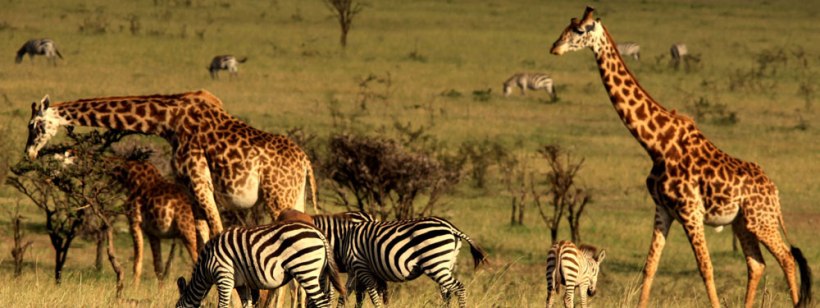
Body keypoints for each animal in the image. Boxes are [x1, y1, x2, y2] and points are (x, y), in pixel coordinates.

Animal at [24, 89, 318, 236]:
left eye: (34, 125)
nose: (29, 153)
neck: (168, 121)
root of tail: (305, 161)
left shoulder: (200, 181)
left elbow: (217, 232)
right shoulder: (190, 187)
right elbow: (203, 237)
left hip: (277, 196)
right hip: (295, 195)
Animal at [175, 223, 344, 308]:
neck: (206, 266)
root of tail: (318, 233)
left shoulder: (224, 276)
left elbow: (222, 305)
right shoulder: (242, 284)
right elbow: (247, 305)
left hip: (305, 270)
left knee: (322, 303)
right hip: (320, 273)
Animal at [338, 217, 486, 308]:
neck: (344, 241)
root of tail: (452, 228)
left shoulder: (361, 266)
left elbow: (372, 296)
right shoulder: (354, 272)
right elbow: (345, 294)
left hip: (434, 263)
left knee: (459, 288)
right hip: (447, 264)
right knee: (447, 293)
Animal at [548, 6, 812, 308]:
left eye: (579, 30)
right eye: (566, 26)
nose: (554, 47)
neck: (656, 144)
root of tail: (775, 192)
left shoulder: (690, 211)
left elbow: (705, 267)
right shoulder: (663, 209)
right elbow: (650, 266)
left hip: (761, 220)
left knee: (787, 257)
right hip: (742, 223)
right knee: (757, 264)